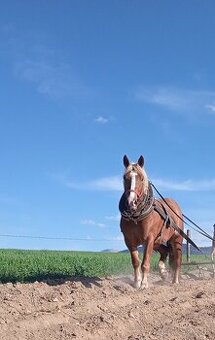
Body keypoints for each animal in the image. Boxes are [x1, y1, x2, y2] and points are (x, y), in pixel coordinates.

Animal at [119, 155, 183, 288]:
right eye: (125, 177)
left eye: (141, 178)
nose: (131, 202)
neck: (136, 217)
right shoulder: (129, 240)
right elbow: (136, 262)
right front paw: (136, 282)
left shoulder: (149, 239)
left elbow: (145, 263)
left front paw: (144, 284)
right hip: (158, 241)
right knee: (165, 252)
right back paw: (163, 272)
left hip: (177, 239)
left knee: (177, 260)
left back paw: (175, 281)